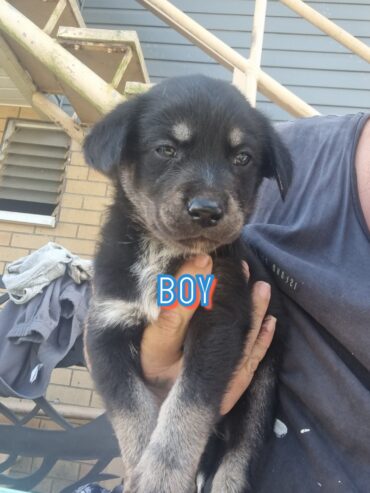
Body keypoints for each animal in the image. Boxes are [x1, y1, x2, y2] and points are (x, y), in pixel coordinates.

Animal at [83, 74, 292, 492]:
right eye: (166, 150)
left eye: (242, 158)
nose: (207, 211)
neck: (164, 252)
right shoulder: (105, 328)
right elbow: (133, 410)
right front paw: (142, 471)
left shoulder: (218, 324)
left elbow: (186, 407)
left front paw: (161, 476)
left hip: (261, 389)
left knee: (238, 457)